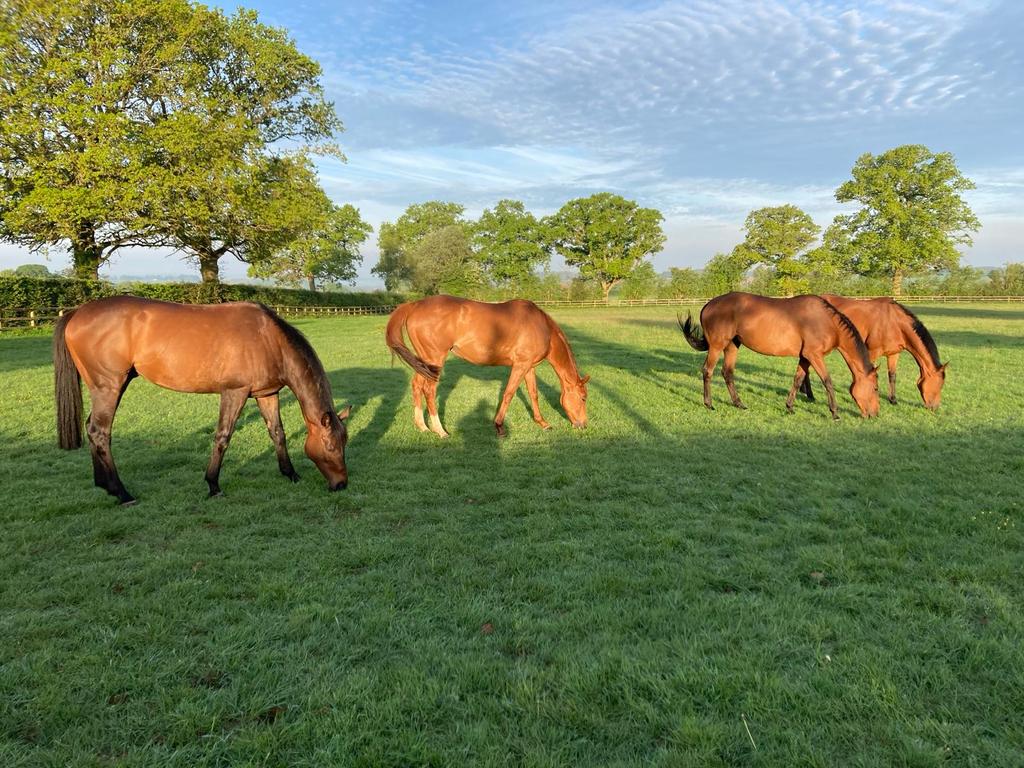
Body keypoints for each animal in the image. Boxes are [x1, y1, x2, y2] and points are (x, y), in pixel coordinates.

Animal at [55, 296, 352, 507]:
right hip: (109, 387)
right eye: (330, 445)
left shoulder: (267, 394)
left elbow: (277, 433)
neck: (269, 338)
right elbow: (223, 437)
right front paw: (213, 485)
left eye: (344, 442)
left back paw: (104, 485)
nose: (341, 485)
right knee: (100, 432)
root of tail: (76, 313)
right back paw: (122, 493)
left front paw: (290, 474)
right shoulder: (234, 392)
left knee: (92, 428)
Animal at [385, 296, 593, 438]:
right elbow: (508, 393)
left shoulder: (529, 366)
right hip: (434, 359)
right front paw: (499, 426)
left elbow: (533, 394)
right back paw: (440, 430)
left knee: (416, 385)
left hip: (424, 363)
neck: (542, 327)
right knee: (429, 390)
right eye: (583, 398)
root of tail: (415, 305)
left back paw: (422, 426)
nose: (583, 425)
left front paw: (543, 423)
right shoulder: (520, 365)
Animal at [679, 290, 880, 421]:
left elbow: (797, 380)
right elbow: (827, 382)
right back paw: (709, 404)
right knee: (707, 371)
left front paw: (790, 407)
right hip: (717, 346)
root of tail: (708, 305)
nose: (874, 414)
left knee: (727, 373)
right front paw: (835, 412)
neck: (826, 321)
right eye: (876, 388)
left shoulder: (805, 357)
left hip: (732, 346)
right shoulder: (814, 355)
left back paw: (739, 404)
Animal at [798, 296, 950, 411]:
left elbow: (892, 376)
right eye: (940, 385)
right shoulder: (872, 352)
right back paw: (809, 395)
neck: (894, 322)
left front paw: (893, 400)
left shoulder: (894, 354)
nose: (934, 407)